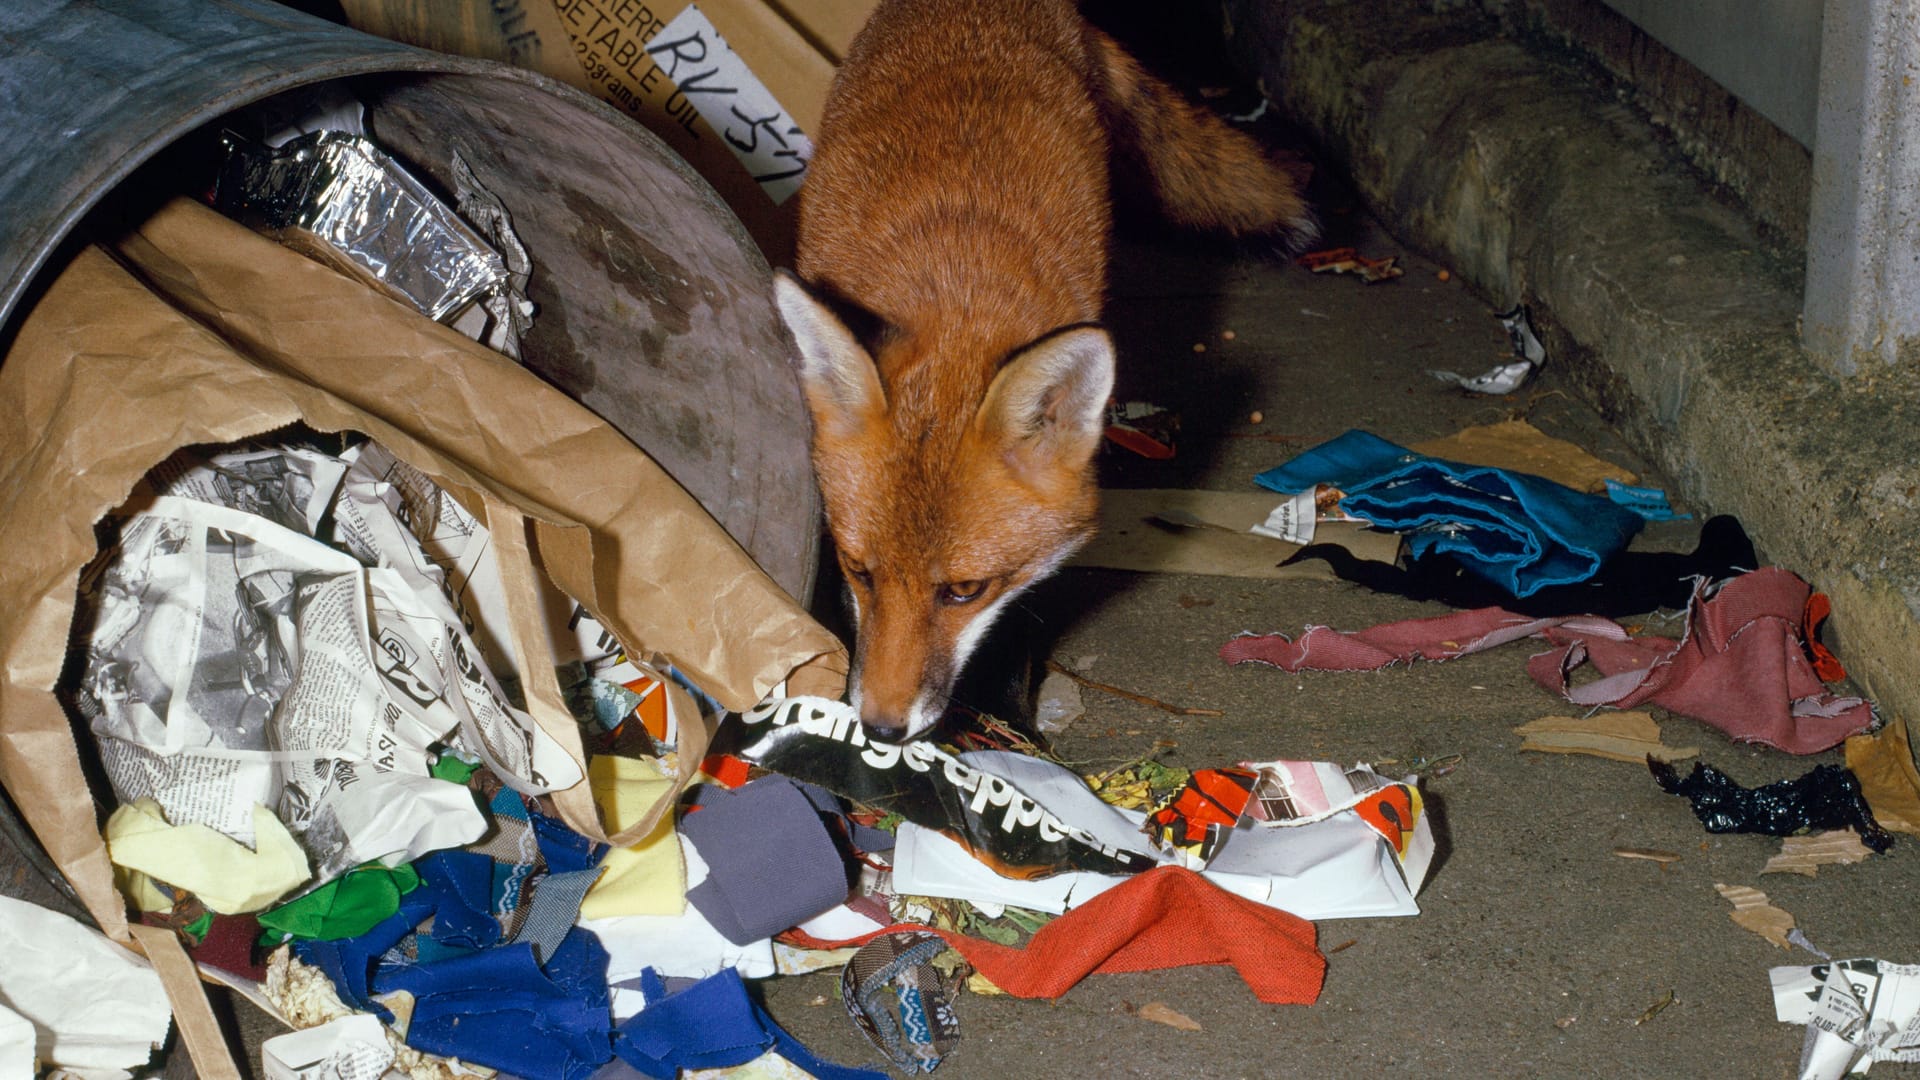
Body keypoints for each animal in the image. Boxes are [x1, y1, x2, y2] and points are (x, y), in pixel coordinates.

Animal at [771, 0, 1313, 737]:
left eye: (964, 591)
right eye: (860, 572)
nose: (880, 729)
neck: (957, 289)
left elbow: (1023, 622)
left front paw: (1008, 721)